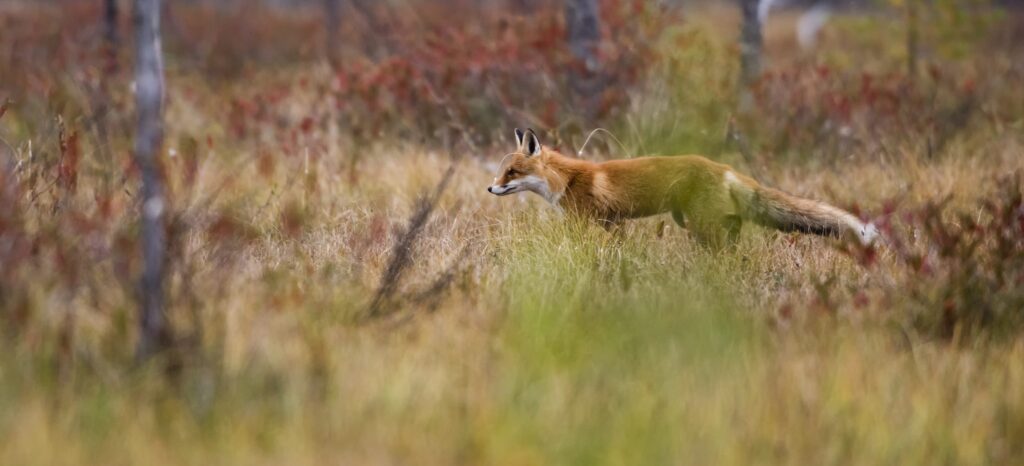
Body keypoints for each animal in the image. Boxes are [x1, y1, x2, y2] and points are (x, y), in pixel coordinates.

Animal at [487, 128, 877, 248]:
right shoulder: (614, 223)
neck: (566, 179)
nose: (490, 190)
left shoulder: (589, 220)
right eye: (501, 172)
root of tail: (725, 167)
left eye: (511, 172)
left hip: (701, 224)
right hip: (699, 220)